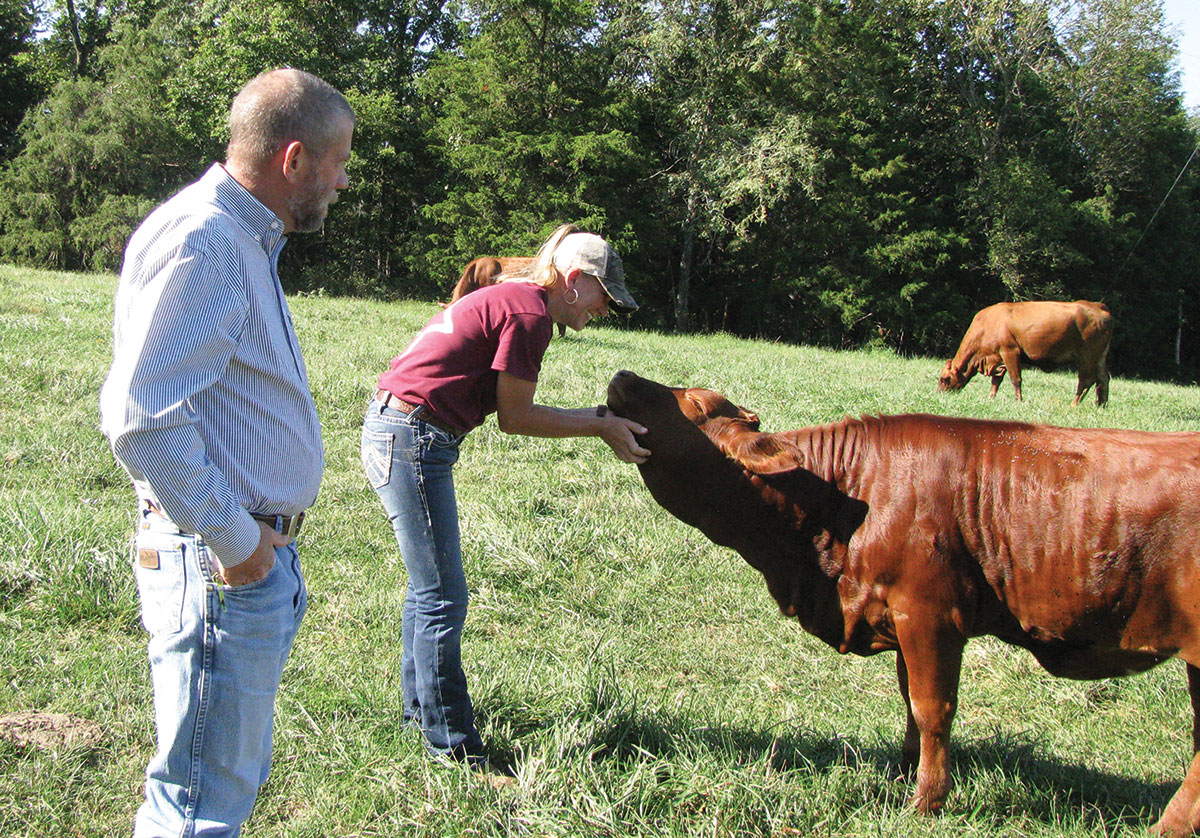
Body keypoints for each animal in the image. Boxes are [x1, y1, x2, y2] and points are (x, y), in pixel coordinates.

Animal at [604, 372, 1200, 835]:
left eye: (695, 406)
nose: (623, 376)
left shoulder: (930, 613)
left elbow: (932, 708)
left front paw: (926, 801)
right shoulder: (896, 614)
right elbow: (909, 700)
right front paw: (899, 774)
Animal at [936, 300, 1113, 405]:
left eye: (944, 379)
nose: (940, 395)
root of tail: (1098, 306)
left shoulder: (1010, 351)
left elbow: (1016, 379)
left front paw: (1018, 401)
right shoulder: (998, 358)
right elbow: (996, 380)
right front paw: (991, 398)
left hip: (1086, 356)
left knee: (1086, 380)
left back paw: (1075, 404)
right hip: (1099, 357)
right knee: (1103, 379)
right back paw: (1101, 405)